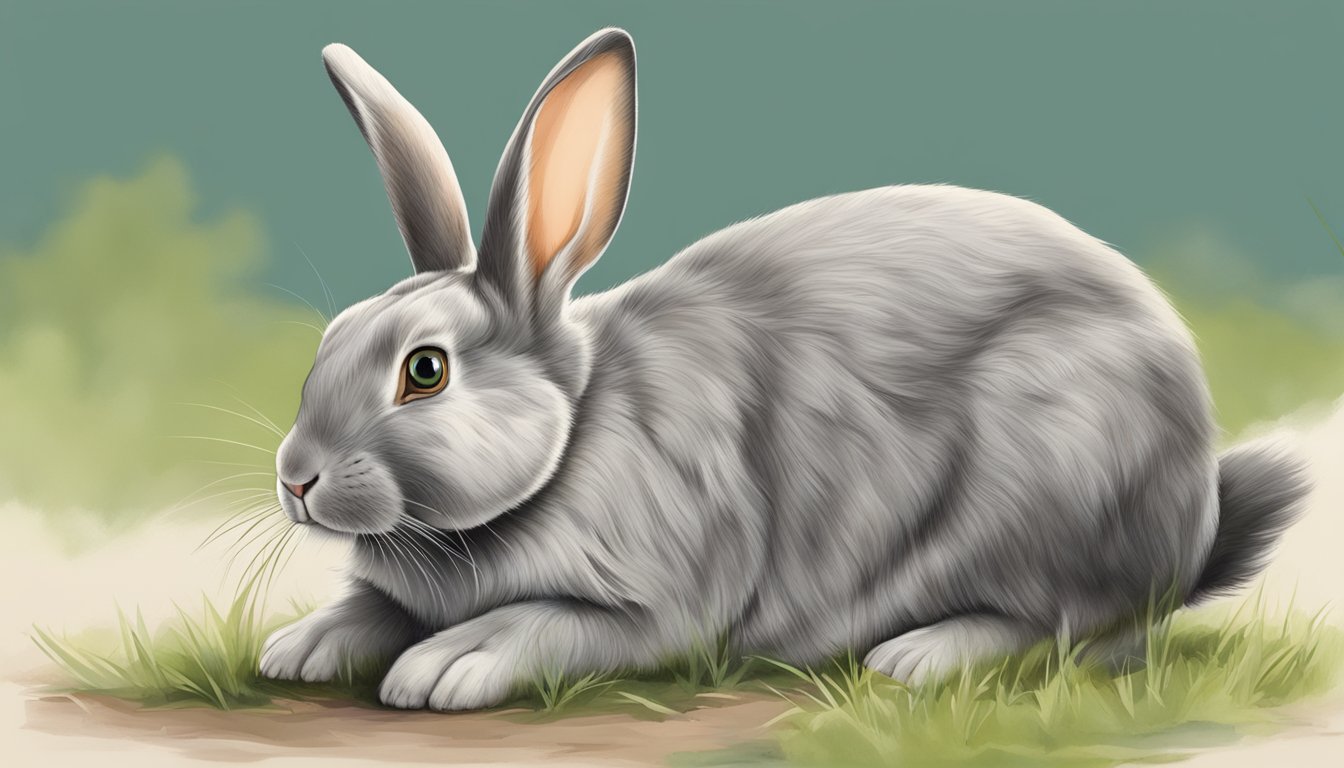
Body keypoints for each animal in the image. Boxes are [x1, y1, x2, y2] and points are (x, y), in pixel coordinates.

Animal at [259, 27, 1310, 711]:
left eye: (425, 371)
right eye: (331, 339)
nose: (295, 479)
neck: (567, 439)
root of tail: (1195, 515)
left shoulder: (664, 602)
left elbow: (547, 623)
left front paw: (445, 665)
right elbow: (369, 606)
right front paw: (299, 648)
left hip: (1053, 481)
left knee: (1074, 630)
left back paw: (921, 655)